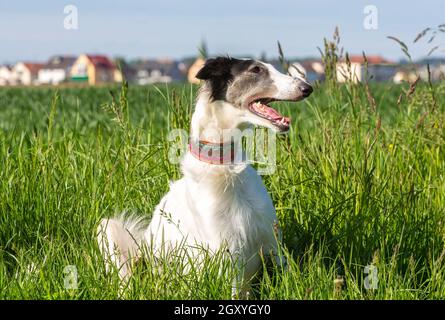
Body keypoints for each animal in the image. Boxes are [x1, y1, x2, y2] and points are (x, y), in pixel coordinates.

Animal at [97, 56, 312, 296]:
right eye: (256, 70)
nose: (307, 88)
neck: (225, 169)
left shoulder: (273, 244)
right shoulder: (229, 257)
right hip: (108, 229)